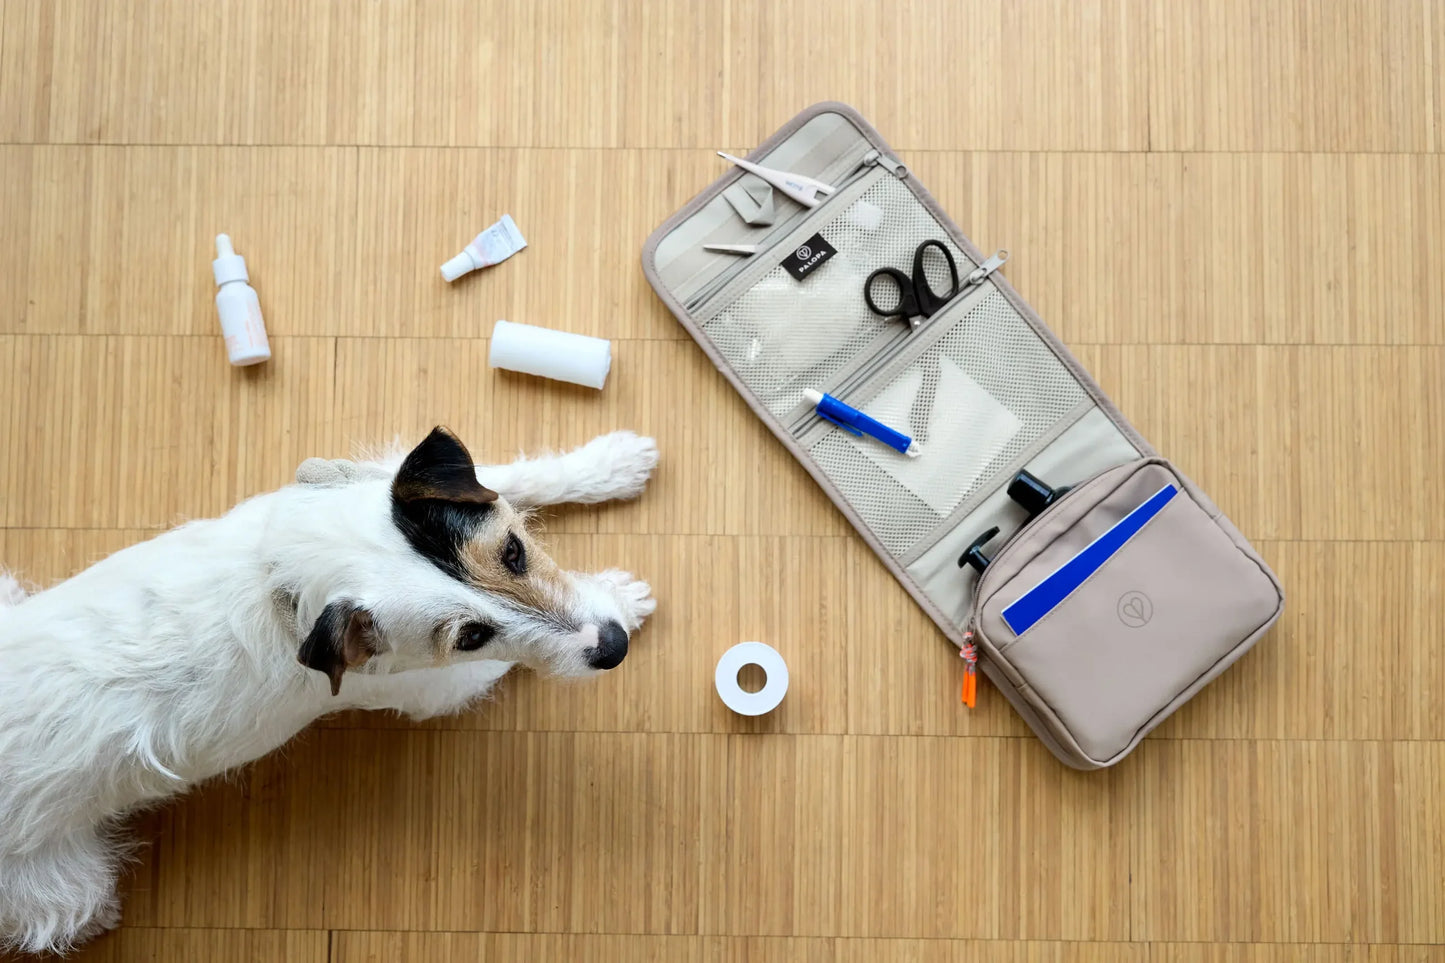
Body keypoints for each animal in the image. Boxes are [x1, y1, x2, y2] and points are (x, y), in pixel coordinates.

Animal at [0, 425, 658, 954]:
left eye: (514, 551)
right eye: (471, 635)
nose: (612, 647)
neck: (284, 578)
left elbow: (510, 477)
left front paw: (612, 462)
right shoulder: (430, 687)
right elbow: (508, 663)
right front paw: (623, 596)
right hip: (55, 879)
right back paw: (94, 919)